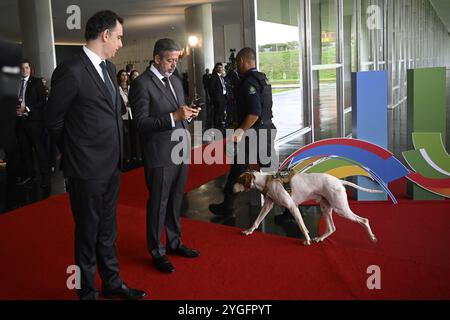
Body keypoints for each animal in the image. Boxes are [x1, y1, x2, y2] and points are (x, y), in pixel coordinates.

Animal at [234, 172, 382, 245]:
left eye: (239, 180)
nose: (231, 188)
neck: (266, 181)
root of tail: (338, 181)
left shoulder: (292, 206)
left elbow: (302, 225)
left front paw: (307, 240)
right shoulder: (267, 206)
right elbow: (256, 220)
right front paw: (249, 231)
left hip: (341, 209)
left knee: (364, 220)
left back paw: (372, 238)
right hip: (326, 208)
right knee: (332, 228)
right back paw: (320, 238)